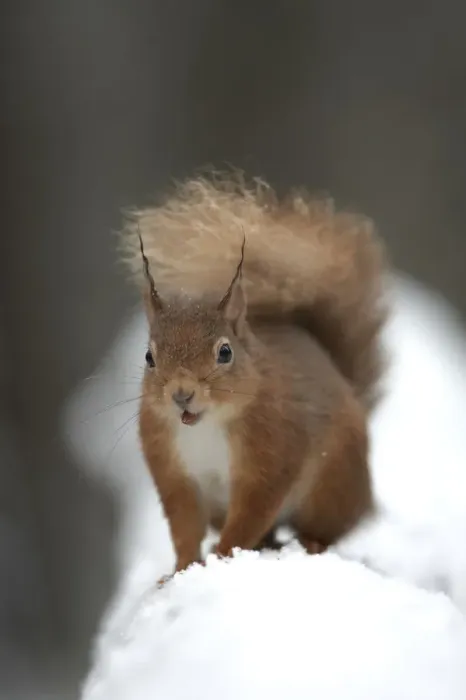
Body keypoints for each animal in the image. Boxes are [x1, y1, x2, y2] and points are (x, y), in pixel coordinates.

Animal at [122, 173, 387, 576]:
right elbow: (184, 527)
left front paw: (220, 556)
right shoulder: (174, 472)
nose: (181, 395)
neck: (204, 425)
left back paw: (311, 543)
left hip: (332, 485)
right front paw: (180, 571)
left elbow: (249, 516)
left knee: (326, 529)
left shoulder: (271, 456)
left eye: (225, 352)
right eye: (149, 357)